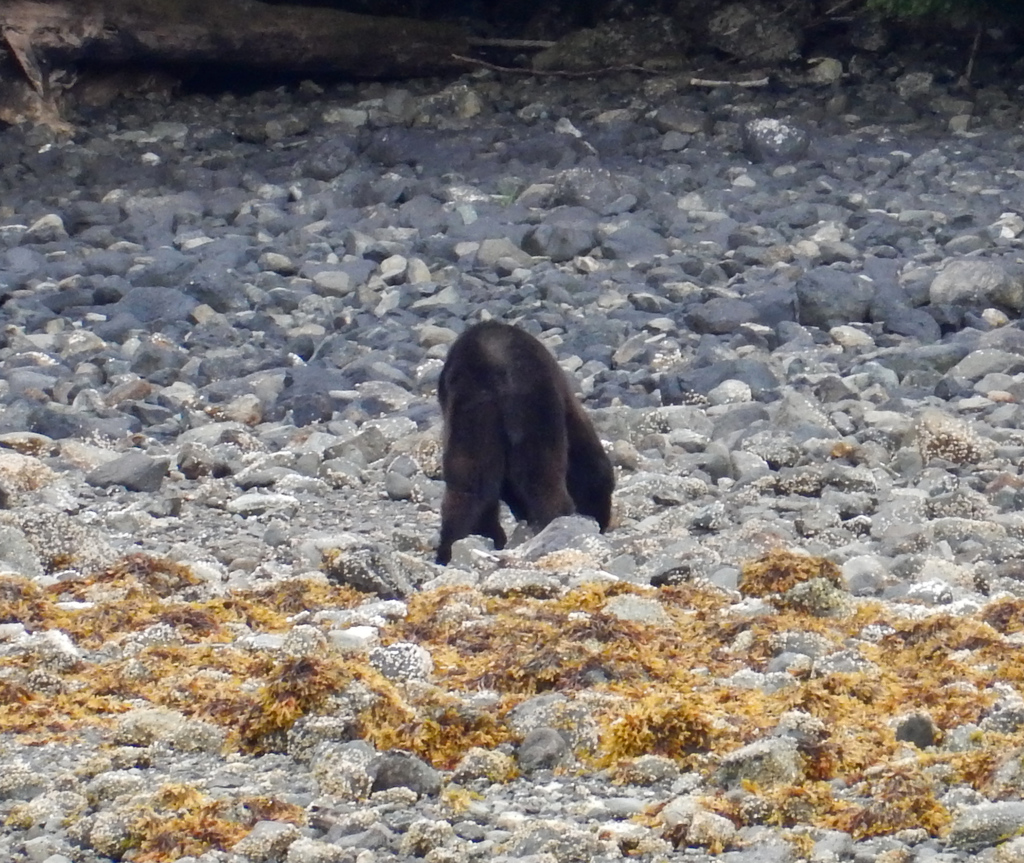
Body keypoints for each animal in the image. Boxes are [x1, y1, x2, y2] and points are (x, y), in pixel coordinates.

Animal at [435, 320, 614, 565]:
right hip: (534, 409)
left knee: (468, 486)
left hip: (473, 415)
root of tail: (496, 370)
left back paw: (450, 548)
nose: (603, 523)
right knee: (540, 477)